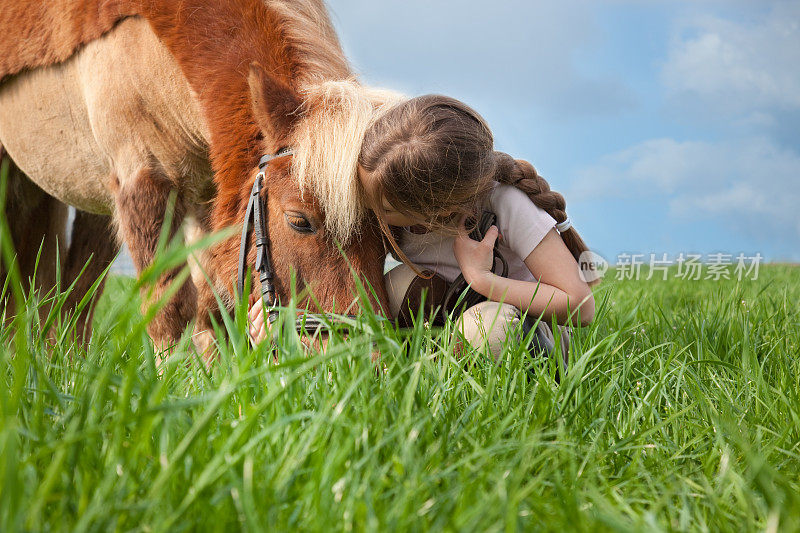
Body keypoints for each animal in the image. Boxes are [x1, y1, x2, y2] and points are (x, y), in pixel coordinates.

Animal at [0, 3, 404, 354]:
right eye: (299, 221)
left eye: (388, 237)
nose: (367, 359)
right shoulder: (144, 182)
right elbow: (169, 308)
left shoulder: (214, 196)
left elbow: (212, 308)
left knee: (71, 293)